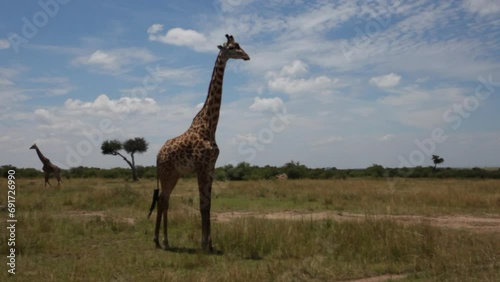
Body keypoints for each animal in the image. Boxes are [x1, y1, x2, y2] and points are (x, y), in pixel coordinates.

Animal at [148, 34, 250, 251]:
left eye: (240, 45)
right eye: (232, 48)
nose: (247, 56)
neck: (210, 126)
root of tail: (157, 156)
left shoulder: (210, 167)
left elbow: (208, 205)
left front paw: (210, 244)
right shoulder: (201, 167)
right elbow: (203, 205)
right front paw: (205, 245)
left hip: (175, 174)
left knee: (164, 200)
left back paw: (162, 241)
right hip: (167, 174)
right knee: (162, 200)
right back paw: (162, 241)